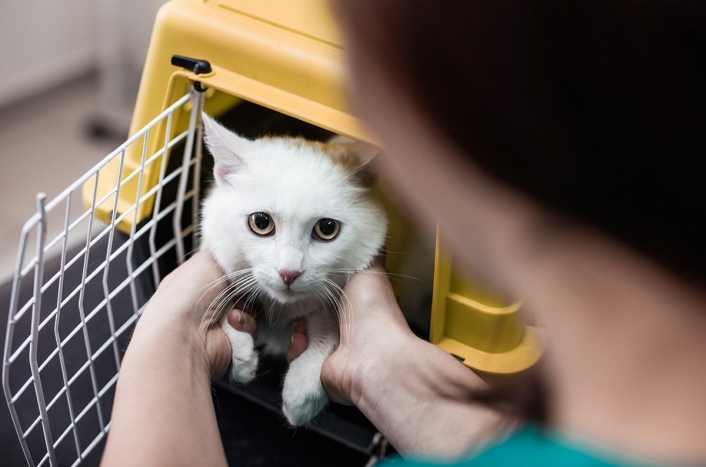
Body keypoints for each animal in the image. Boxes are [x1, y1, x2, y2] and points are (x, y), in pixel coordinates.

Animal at [198, 114, 388, 428]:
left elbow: (331, 328)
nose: (289, 272)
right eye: (261, 222)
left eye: (327, 228)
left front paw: (303, 392)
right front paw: (238, 350)